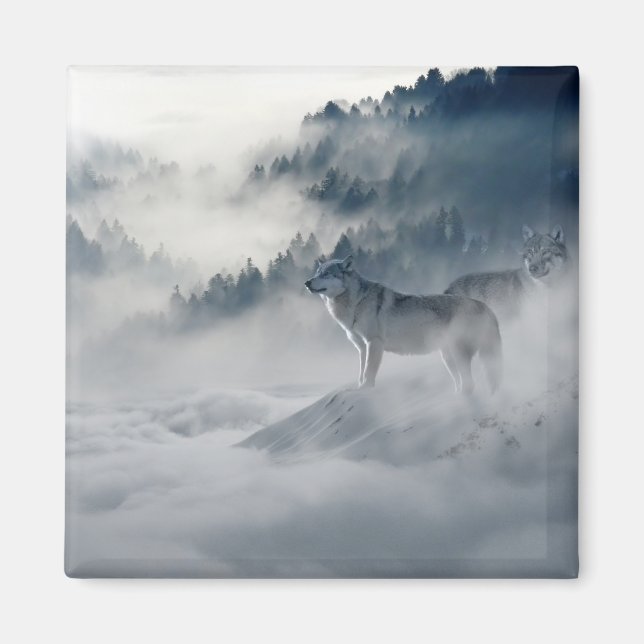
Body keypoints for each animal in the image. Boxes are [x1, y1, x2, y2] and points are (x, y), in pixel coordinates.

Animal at [305, 256, 502, 393]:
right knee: (464, 383)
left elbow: (368, 373)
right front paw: (358, 388)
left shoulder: (374, 343)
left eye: (326, 274)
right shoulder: (361, 347)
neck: (356, 302)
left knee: (471, 384)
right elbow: (361, 373)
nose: (307, 282)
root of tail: (485, 307)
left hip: (458, 354)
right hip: (448, 358)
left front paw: (365, 390)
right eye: (316, 273)